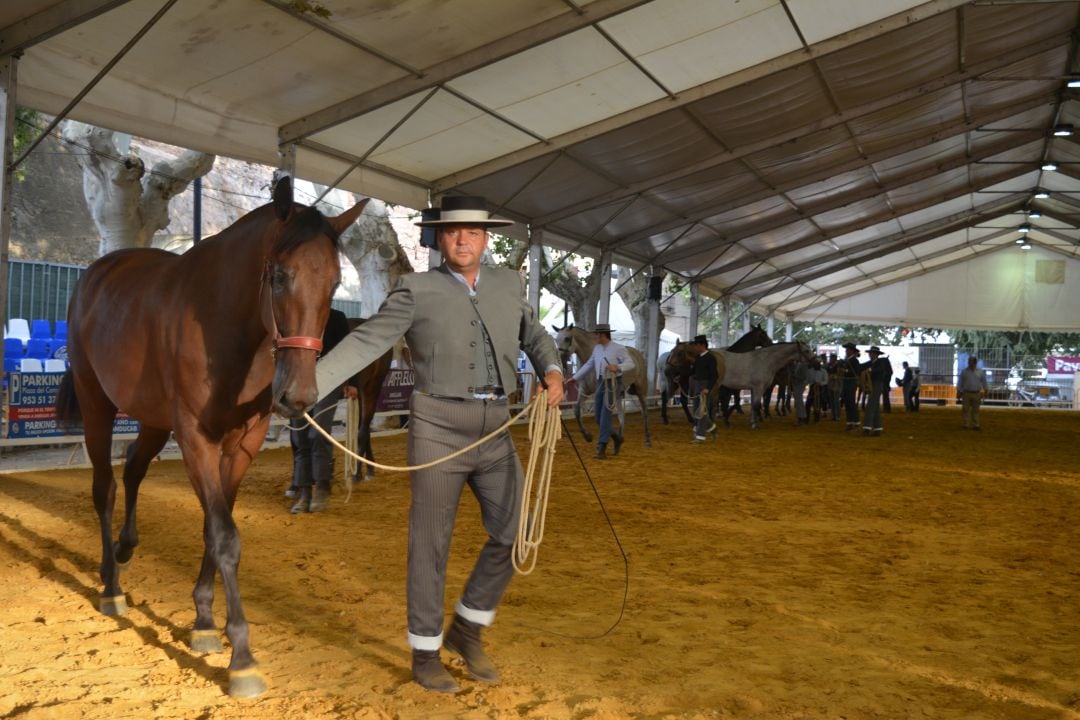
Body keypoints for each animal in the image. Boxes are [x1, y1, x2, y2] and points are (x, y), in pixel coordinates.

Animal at [53, 175, 367, 699]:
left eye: (335, 282)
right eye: (278, 275)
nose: (298, 395)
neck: (226, 327)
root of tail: (96, 275)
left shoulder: (242, 443)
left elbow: (213, 527)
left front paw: (202, 621)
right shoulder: (196, 439)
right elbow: (224, 535)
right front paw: (241, 657)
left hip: (155, 421)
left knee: (134, 468)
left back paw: (125, 548)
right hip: (98, 406)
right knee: (106, 488)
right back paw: (111, 586)